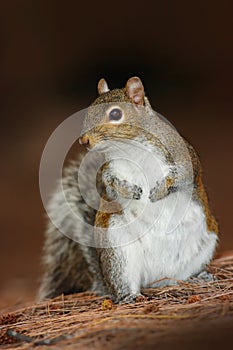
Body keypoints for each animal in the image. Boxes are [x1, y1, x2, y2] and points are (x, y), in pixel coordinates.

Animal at [38, 78, 218, 302]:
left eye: (115, 114)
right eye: (89, 109)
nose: (84, 141)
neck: (130, 147)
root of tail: (157, 278)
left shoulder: (182, 155)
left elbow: (184, 175)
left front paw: (159, 191)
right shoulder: (109, 169)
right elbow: (110, 184)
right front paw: (128, 190)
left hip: (204, 244)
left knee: (180, 277)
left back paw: (197, 278)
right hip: (118, 251)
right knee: (123, 284)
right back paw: (130, 296)